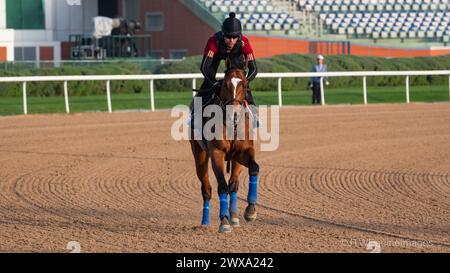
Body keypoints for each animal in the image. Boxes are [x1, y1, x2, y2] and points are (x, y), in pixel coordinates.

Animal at [190, 68, 260, 232]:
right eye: (224, 85)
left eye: (244, 84)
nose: (233, 112)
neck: (232, 125)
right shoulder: (217, 153)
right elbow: (222, 186)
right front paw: (224, 221)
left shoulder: (244, 151)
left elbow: (254, 168)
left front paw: (250, 211)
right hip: (199, 155)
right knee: (206, 189)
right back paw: (205, 222)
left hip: (235, 160)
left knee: (233, 184)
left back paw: (234, 216)